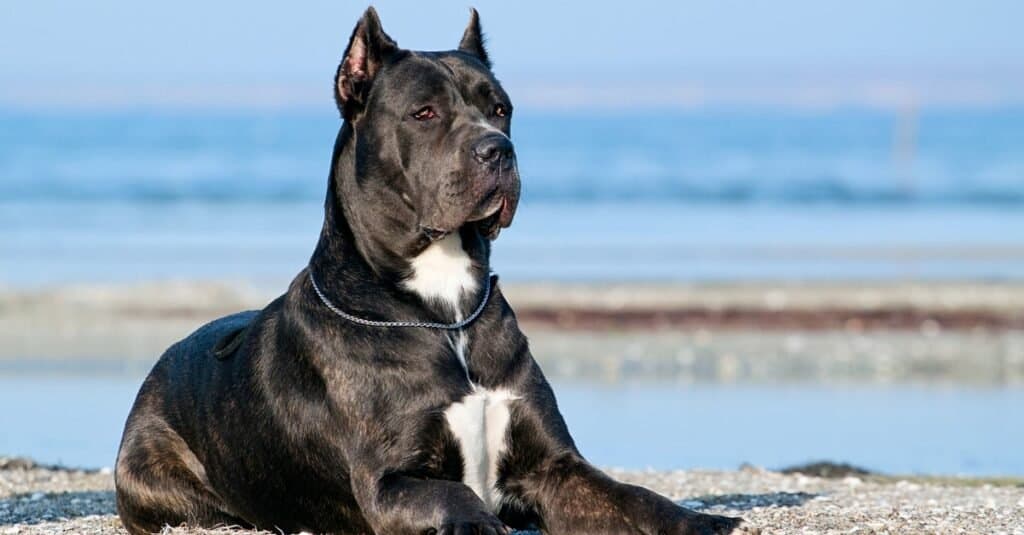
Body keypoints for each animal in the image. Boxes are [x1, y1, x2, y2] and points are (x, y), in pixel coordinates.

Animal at [116, 7, 749, 532]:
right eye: (424, 113)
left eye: (501, 109)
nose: (498, 150)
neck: (445, 310)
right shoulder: (391, 480)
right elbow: (455, 494)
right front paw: (480, 523)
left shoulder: (555, 466)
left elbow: (632, 495)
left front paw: (699, 519)